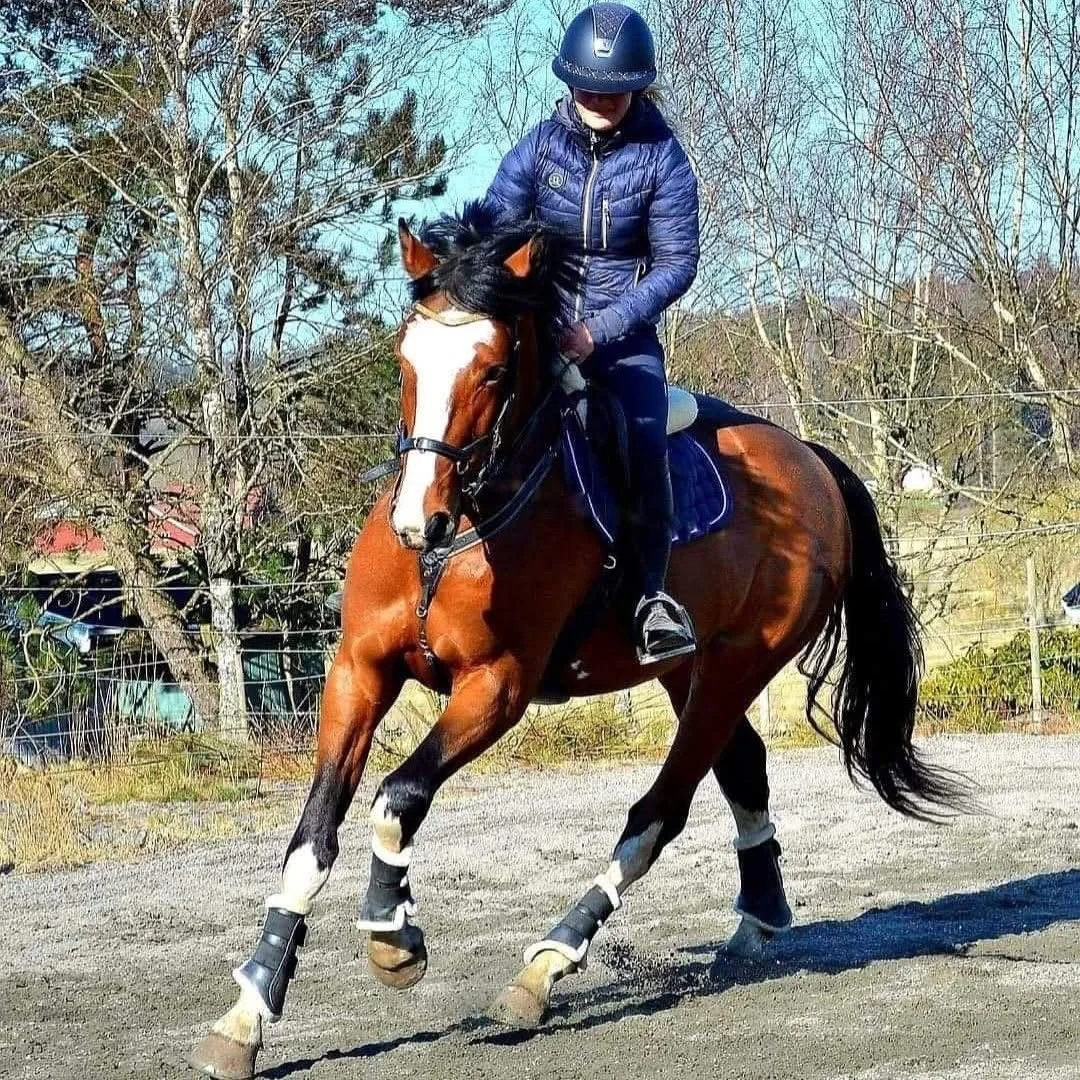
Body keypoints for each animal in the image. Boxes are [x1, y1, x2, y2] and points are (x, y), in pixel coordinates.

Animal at [189, 210, 963, 1080]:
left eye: (494, 371)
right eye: (405, 360)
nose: (419, 520)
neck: (462, 530)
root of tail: (814, 462)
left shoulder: (497, 686)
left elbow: (399, 797)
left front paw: (394, 937)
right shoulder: (359, 672)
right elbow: (312, 836)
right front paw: (248, 1012)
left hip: (736, 666)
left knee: (659, 812)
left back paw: (545, 967)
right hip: (690, 671)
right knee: (743, 767)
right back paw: (758, 919)